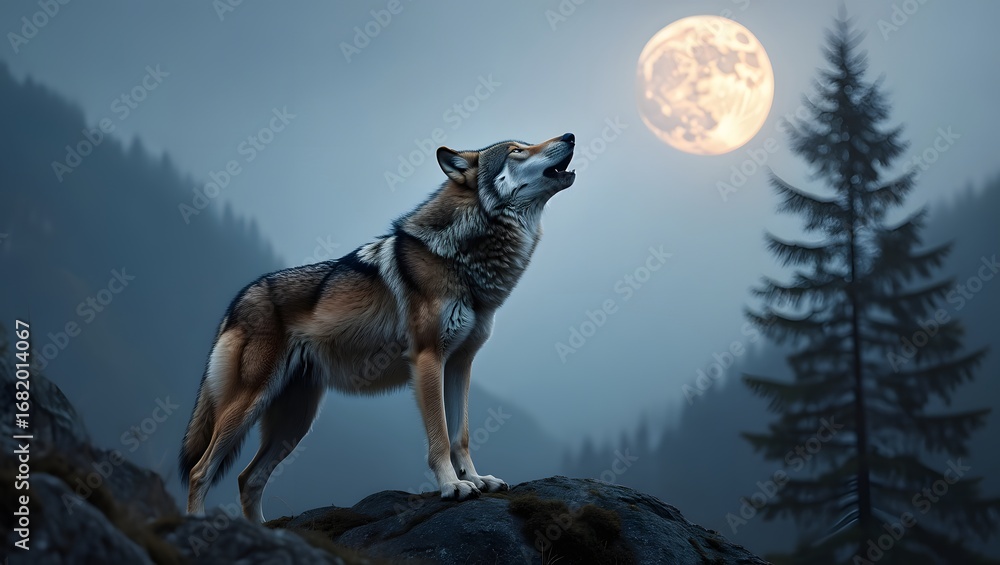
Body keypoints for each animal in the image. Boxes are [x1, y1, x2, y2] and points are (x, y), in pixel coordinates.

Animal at [179, 133, 576, 521]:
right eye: (517, 150)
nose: (571, 135)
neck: (462, 256)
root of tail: (239, 299)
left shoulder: (460, 364)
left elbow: (460, 436)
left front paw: (477, 480)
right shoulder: (428, 358)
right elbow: (440, 437)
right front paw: (453, 486)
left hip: (295, 421)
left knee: (248, 479)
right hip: (251, 402)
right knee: (201, 471)